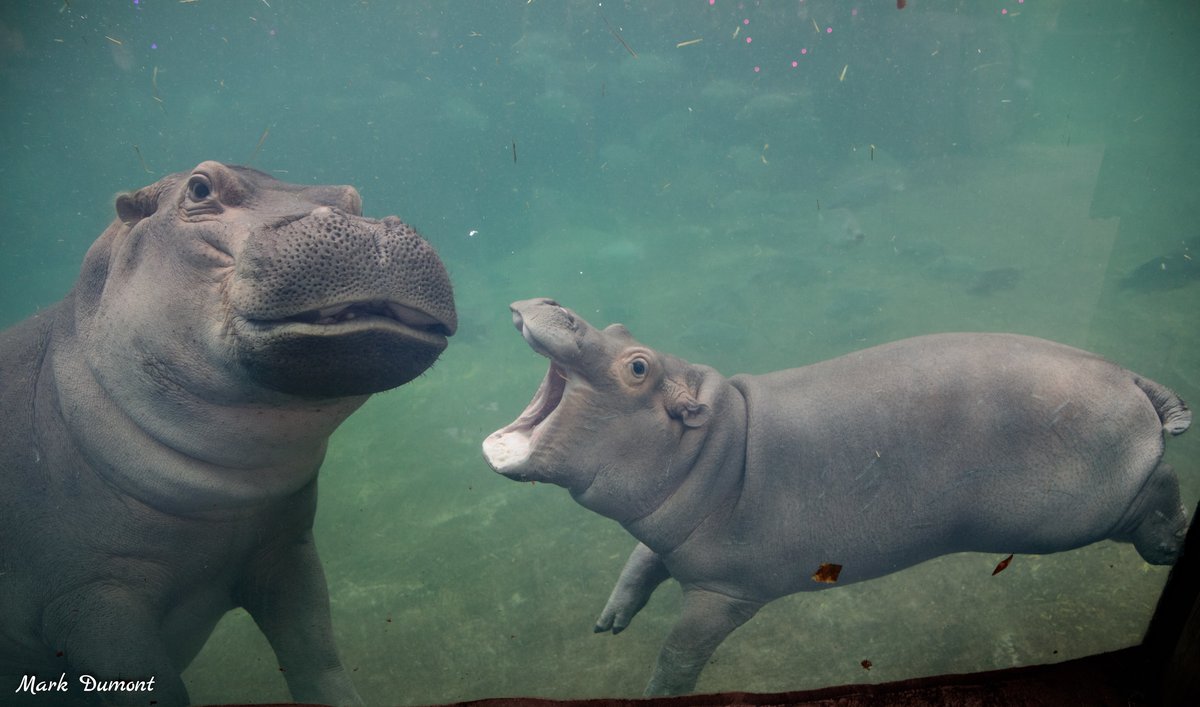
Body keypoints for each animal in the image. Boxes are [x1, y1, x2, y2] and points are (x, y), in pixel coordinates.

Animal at [0, 162, 456, 706]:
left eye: (354, 199)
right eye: (200, 187)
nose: (367, 227)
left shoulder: (285, 549)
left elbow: (318, 658)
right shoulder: (89, 597)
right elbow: (152, 687)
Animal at [482, 298, 1189, 696]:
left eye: (637, 366)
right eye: (621, 324)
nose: (552, 300)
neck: (717, 445)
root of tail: (1130, 375)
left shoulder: (723, 593)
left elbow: (679, 653)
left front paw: (656, 692)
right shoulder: (664, 534)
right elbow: (639, 562)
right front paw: (609, 621)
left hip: (1082, 511)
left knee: (1159, 483)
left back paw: (1169, 545)